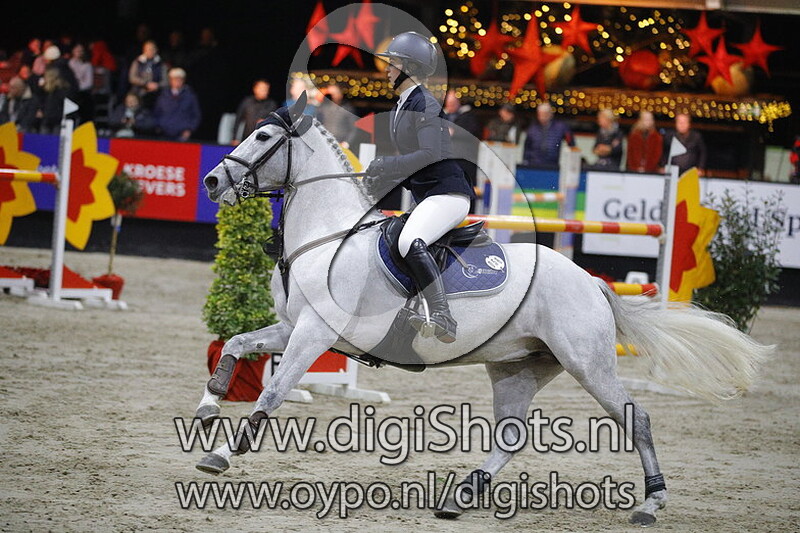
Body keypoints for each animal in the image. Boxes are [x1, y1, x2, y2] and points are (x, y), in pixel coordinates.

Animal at [196, 95, 772, 525]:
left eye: (263, 138)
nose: (212, 182)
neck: (328, 235)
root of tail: (590, 281)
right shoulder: (294, 327)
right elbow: (238, 343)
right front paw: (208, 405)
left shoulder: (314, 333)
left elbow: (273, 390)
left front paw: (222, 453)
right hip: (517, 367)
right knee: (512, 436)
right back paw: (461, 495)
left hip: (588, 362)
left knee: (638, 418)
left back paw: (652, 501)